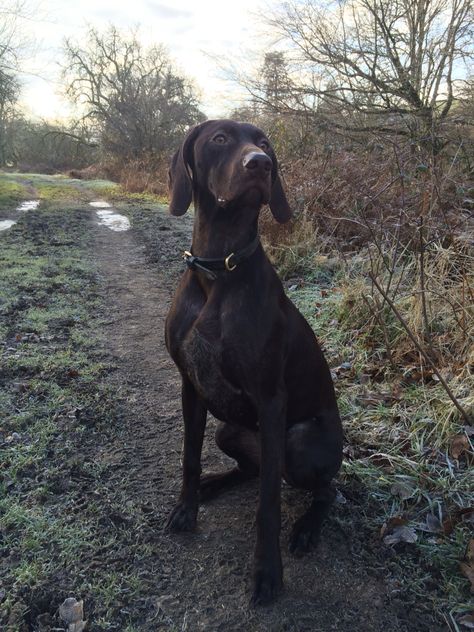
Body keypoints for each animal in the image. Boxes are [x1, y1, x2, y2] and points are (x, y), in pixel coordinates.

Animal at [165, 119, 342, 608]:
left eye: (264, 144)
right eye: (220, 139)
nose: (260, 164)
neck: (218, 269)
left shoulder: (270, 401)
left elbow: (268, 505)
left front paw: (267, 573)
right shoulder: (191, 385)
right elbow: (189, 457)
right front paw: (187, 507)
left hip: (299, 442)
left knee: (323, 490)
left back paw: (306, 529)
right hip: (229, 430)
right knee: (253, 469)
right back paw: (213, 485)